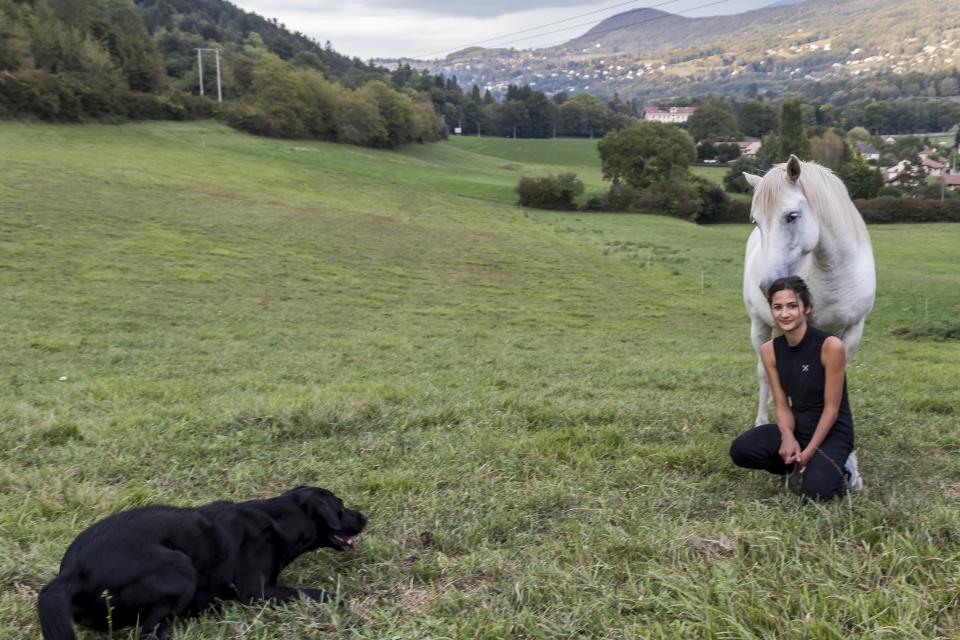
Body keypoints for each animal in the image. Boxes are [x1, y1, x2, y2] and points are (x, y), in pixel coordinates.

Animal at [37, 484, 364, 640]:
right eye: (341, 506)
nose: (365, 517)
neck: (279, 520)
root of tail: (71, 573)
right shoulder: (257, 591)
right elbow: (315, 593)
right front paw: (337, 599)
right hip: (180, 568)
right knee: (148, 632)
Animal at [744, 155, 876, 424]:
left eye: (792, 216)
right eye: (757, 221)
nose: (768, 285)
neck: (834, 273)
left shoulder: (852, 331)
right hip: (759, 325)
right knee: (763, 372)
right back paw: (762, 420)